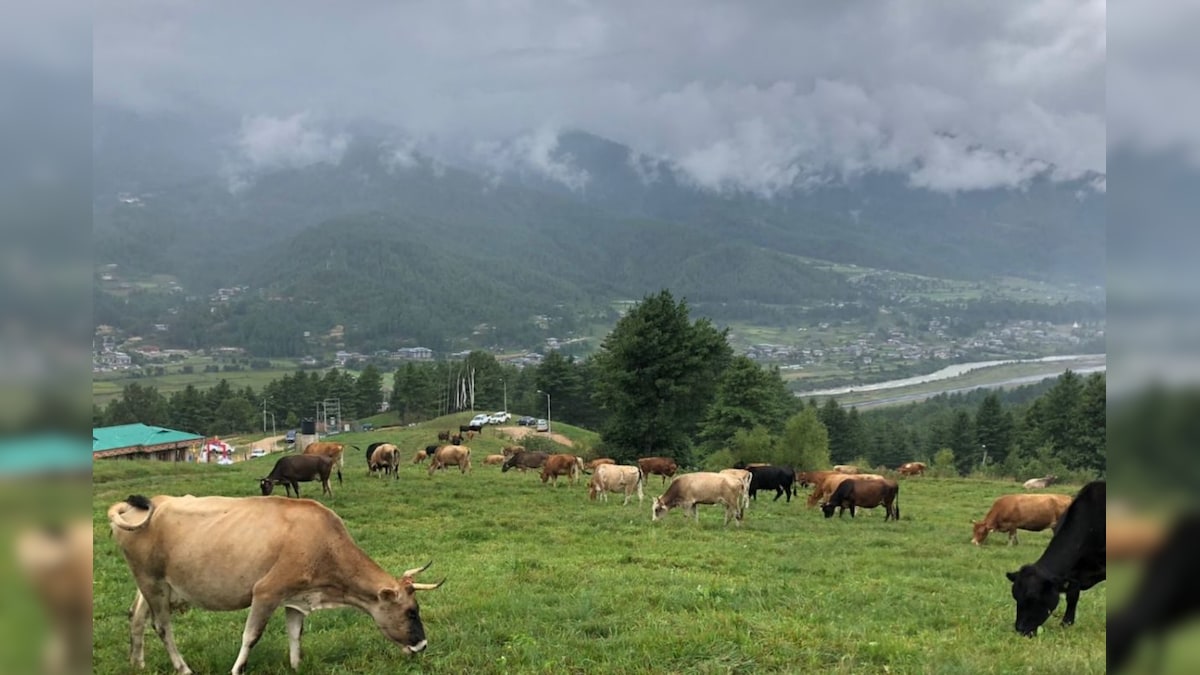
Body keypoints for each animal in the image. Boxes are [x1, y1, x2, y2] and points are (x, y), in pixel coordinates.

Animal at [109, 492, 441, 672]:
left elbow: (295, 635)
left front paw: (296, 666)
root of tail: (137, 505)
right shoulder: (266, 591)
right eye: (411, 612)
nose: (422, 645)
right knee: (162, 626)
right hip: (152, 582)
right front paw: (237, 668)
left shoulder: (295, 596)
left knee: (136, 615)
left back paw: (137, 663)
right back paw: (183, 668)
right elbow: (251, 636)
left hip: (151, 584)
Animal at [1003, 478, 1104, 634]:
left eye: (1033, 597)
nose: (1020, 629)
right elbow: (1072, 596)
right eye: (1015, 595)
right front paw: (1066, 623)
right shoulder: (1072, 573)